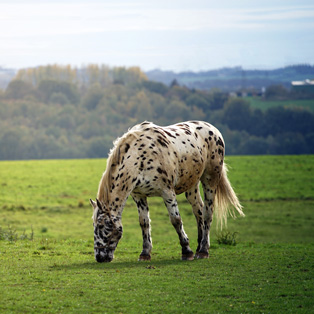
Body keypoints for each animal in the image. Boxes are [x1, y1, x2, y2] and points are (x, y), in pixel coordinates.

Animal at [89, 120, 244, 262]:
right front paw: (145, 253)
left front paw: (186, 251)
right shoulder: (139, 195)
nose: (99, 257)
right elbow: (144, 222)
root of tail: (214, 129)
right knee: (198, 211)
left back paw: (203, 251)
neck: (140, 157)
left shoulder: (167, 192)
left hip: (210, 179)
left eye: (103, 225)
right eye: (94, 225)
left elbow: (176, 220)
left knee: (207, 213)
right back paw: (199, 247)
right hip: (192, 185)